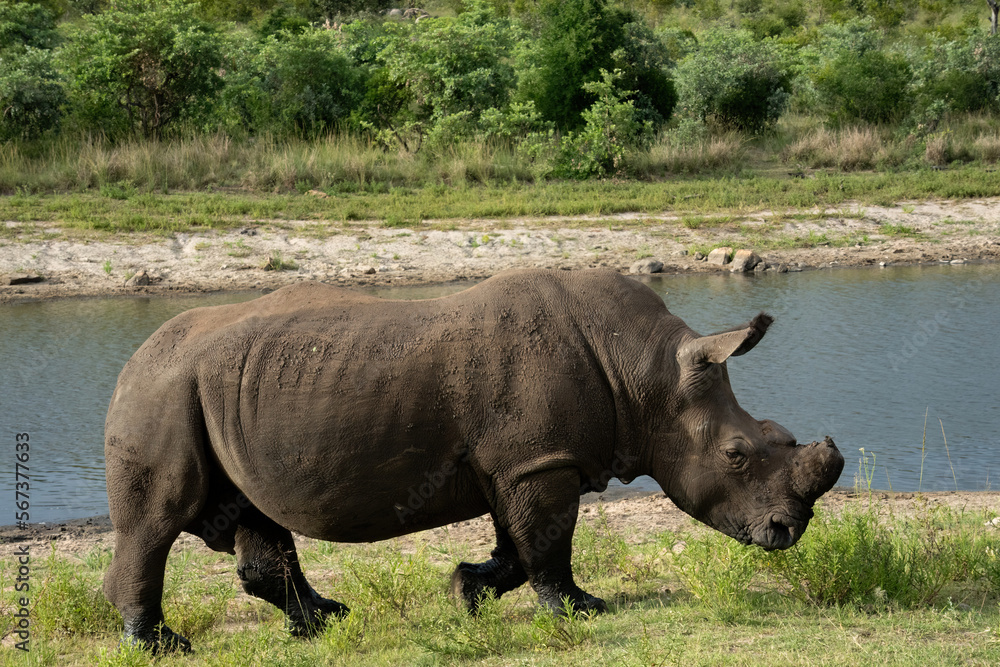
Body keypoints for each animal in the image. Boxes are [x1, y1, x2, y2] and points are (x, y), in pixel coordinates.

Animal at [103, 269, 843, 652]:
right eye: (737, 454)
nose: (787, 531)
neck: (648, 372)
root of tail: (130, 359)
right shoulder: (539, 462)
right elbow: (550, 544)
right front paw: (583, 610)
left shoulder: (517, 464)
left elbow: (519, 543)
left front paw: (466, 590)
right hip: (162, 392)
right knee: (156, 522)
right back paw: (161, 646)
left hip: (212, 392)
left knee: (250, 512)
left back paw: (325, 621)